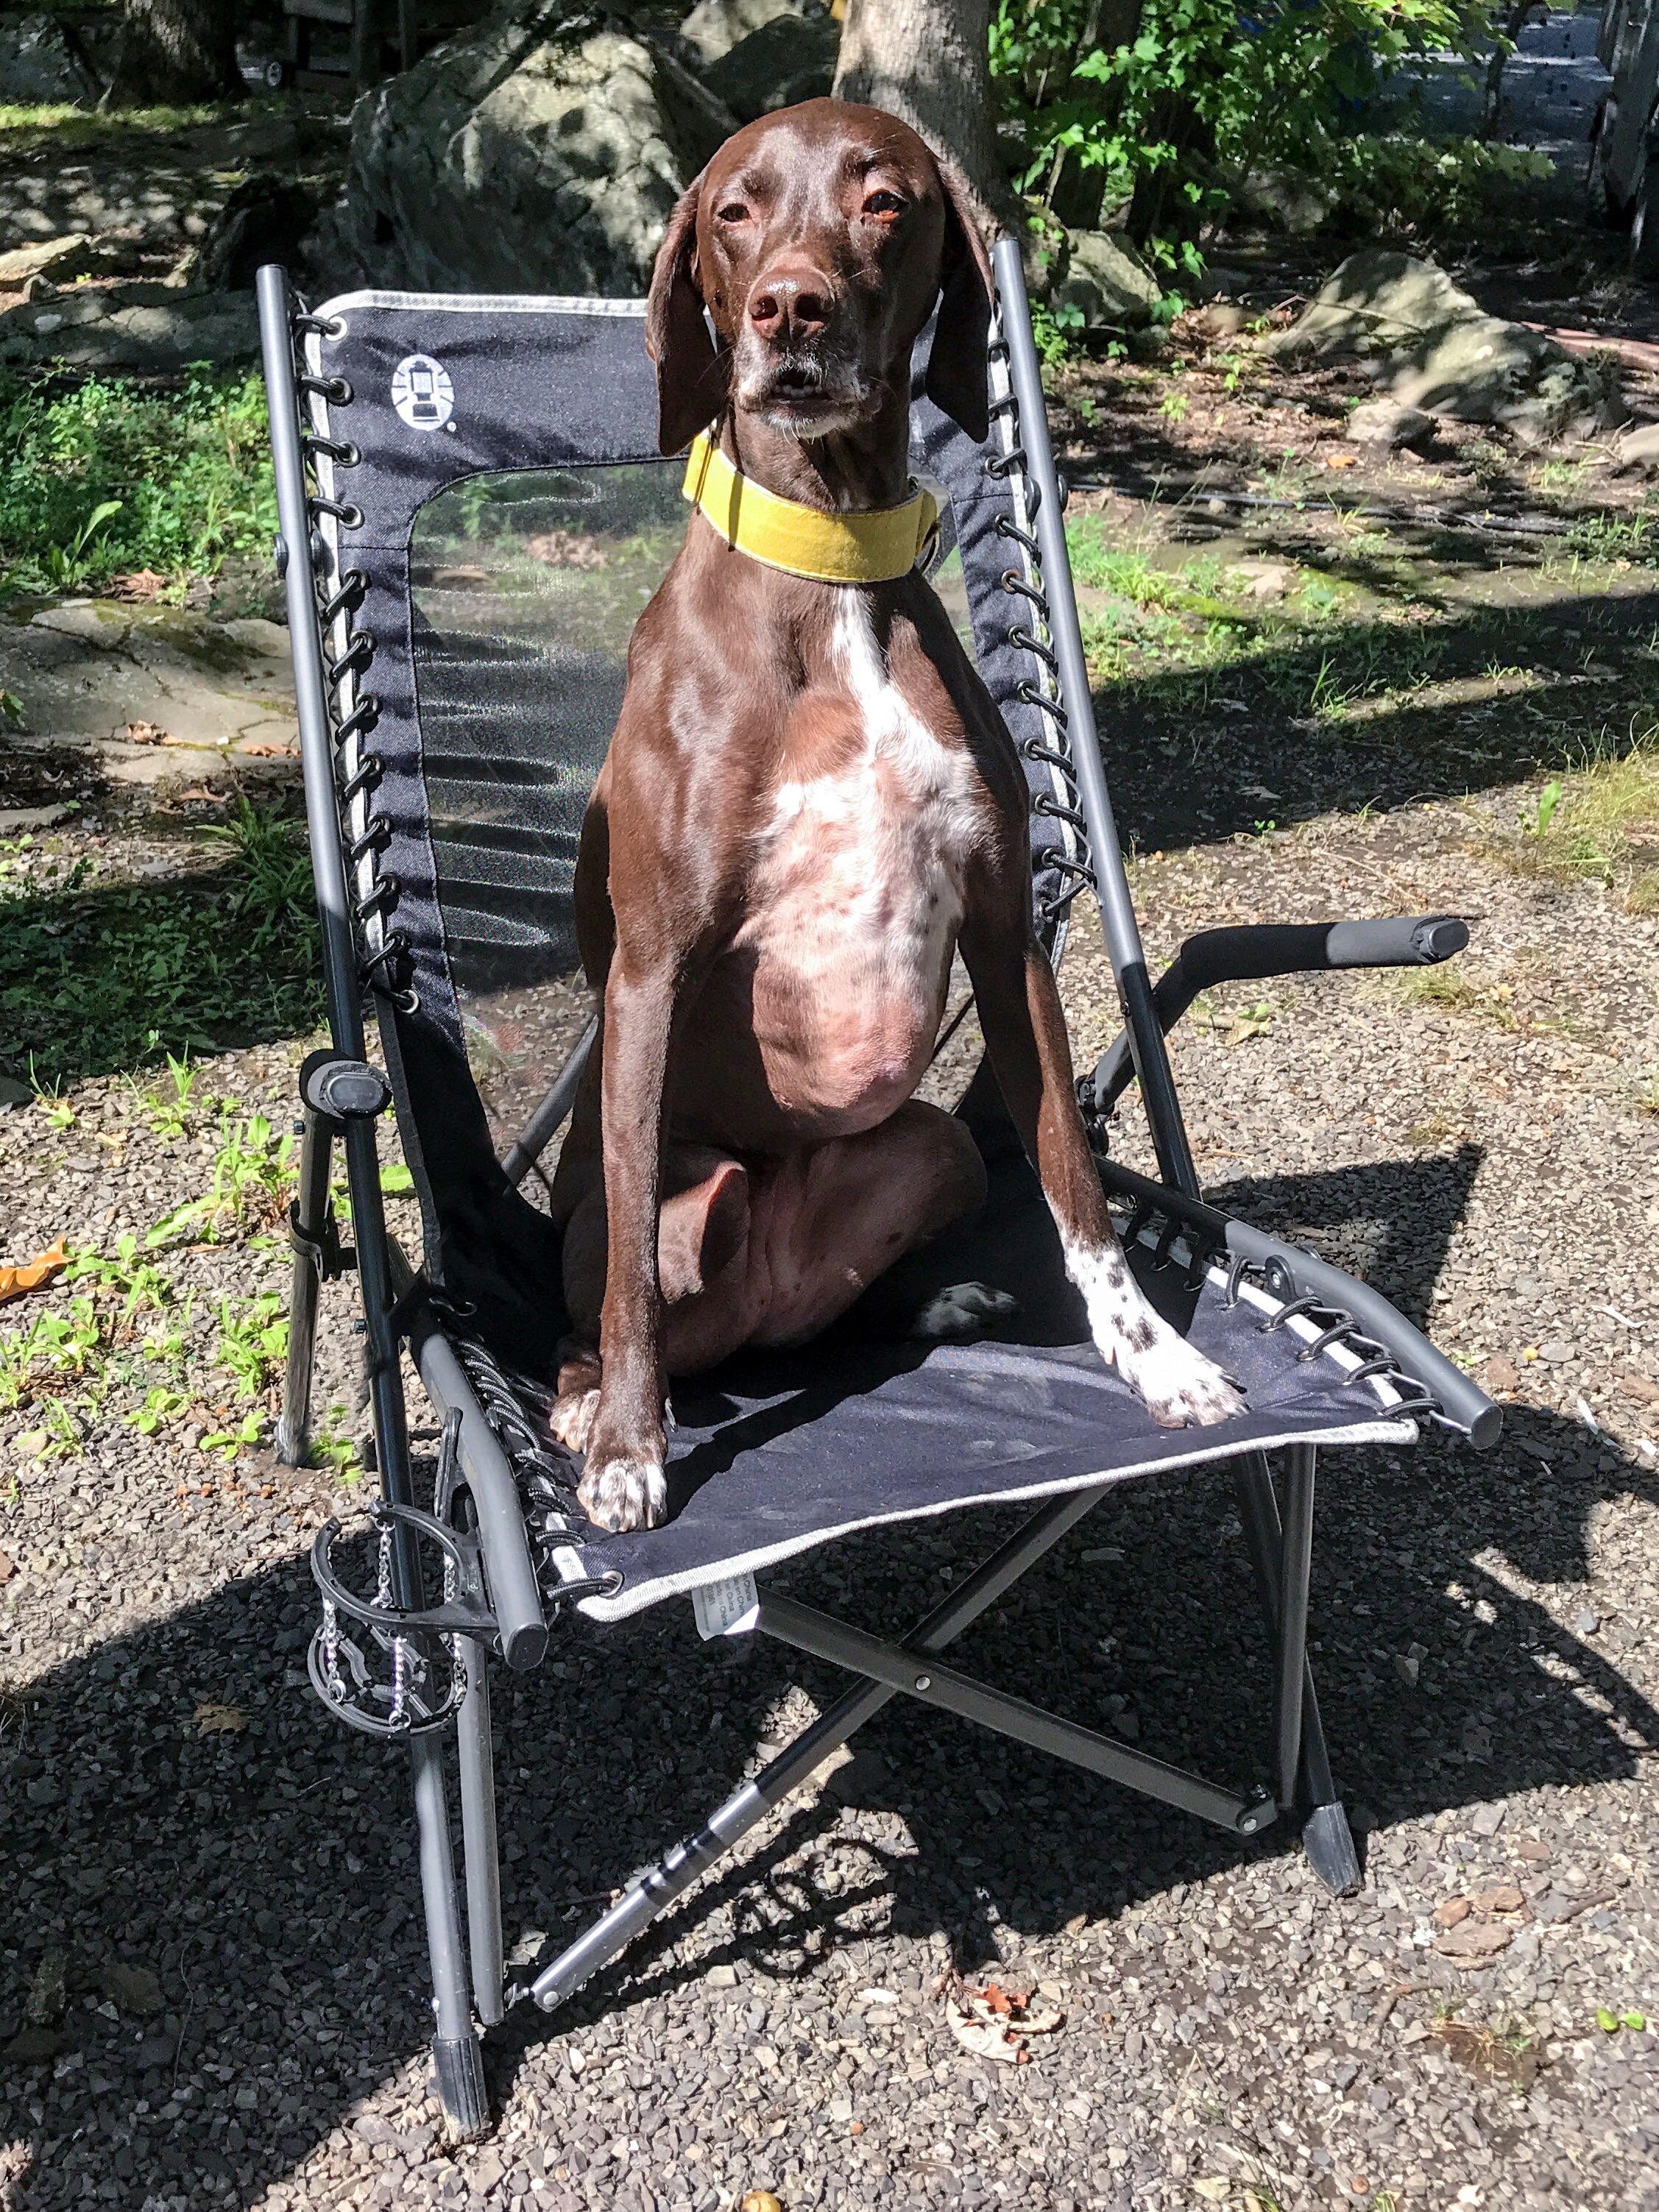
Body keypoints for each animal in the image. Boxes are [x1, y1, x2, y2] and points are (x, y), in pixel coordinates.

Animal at [545, 98, 1244, 1533]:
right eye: (734, 211)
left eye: (883, 202)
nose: (786, 311)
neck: (830, 576)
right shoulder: (649, 973)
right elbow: (633, 1270)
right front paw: (631, 1447)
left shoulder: (1003, 935)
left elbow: (1075, 1184)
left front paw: (1152, 1356)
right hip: (686, 1200)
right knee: (623, 1295)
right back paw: (597, 1400)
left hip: (930, 1148)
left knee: (838, 1302)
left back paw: (929, 1306)